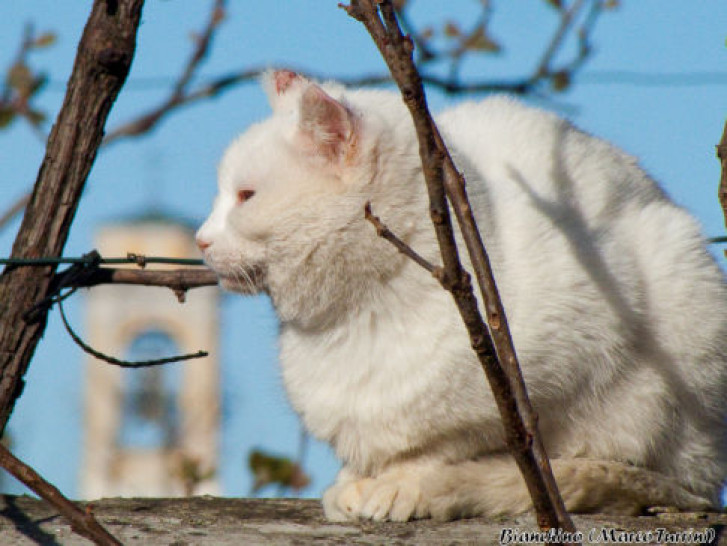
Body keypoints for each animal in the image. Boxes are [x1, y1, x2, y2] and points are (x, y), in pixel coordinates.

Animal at [196, 70, 724, 520]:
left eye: (245, 196)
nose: (201, 240)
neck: (361, 316)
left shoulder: (575, 353)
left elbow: (455, 450)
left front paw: (404, 484)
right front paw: (355, 482)